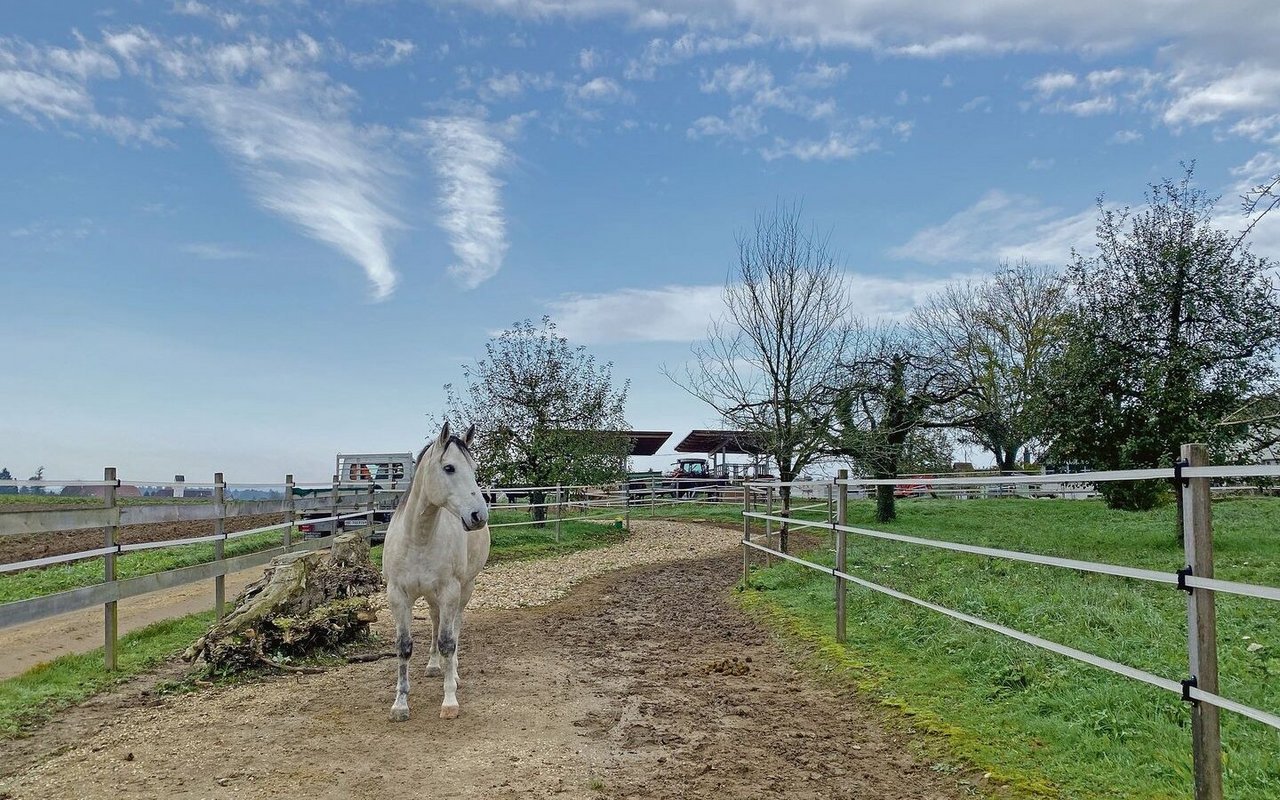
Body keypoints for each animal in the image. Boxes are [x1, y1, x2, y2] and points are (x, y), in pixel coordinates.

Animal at [378, 422, 488, 721]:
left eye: (474, 468)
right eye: (449, 468)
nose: (479, 516)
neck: (418, 538)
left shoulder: (450, 591)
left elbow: (448, 642)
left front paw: (449, 701)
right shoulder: (398, 596)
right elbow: (404, 647)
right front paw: (400, 704)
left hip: (464, 588)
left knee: (455, 626)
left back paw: (454, 672)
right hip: (430, 596)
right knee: (435, 621)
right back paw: (433, 665)